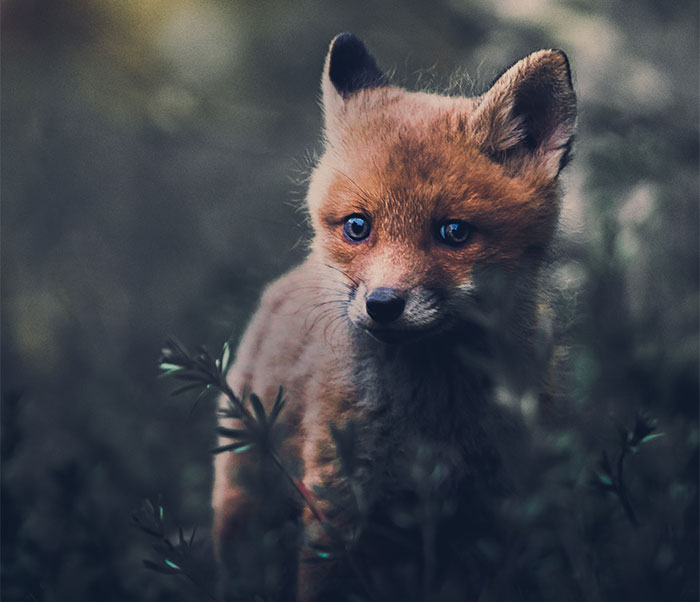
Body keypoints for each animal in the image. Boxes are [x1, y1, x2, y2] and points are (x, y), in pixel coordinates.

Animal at [212, 33, 576, 602]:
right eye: (357, 227)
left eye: (454, 232)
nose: (382, 305)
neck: (434, 416)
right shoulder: (337, 503)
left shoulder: (513, 499)